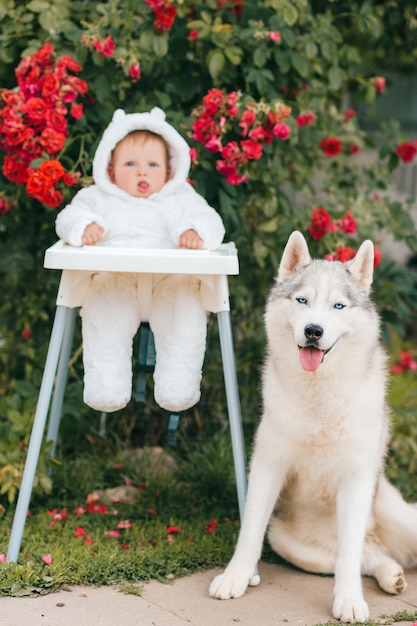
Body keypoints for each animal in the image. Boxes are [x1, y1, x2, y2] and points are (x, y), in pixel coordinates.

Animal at [210, 232, 416, 620]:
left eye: (338, 306)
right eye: (302, 300)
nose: (313, 331)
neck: (319, 397)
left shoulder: (355, 480)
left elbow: (349, 556)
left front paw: (348, 600)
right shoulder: (268, 466)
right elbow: (249, 533)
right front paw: (236, 577)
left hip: (400, 517)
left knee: (364, 550)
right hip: (291, 544)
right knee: (373, 554)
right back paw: (391, 575)